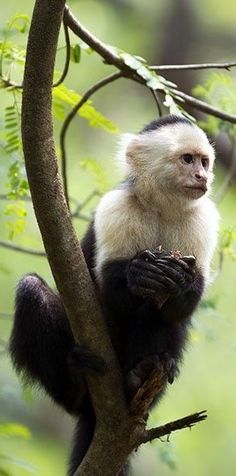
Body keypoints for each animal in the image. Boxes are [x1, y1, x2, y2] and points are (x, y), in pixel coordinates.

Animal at [9, 115, 219, 476]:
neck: (162, 208)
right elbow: (107, 290)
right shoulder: (117, 207)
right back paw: (76, 386)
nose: (202, 176)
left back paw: (143, 374)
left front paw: (180, 281)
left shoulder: (203, 219)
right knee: (32, 291)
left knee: (160, 319)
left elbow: (180, 308)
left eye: (204, 162)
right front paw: (141, 275)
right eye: (187, 160)